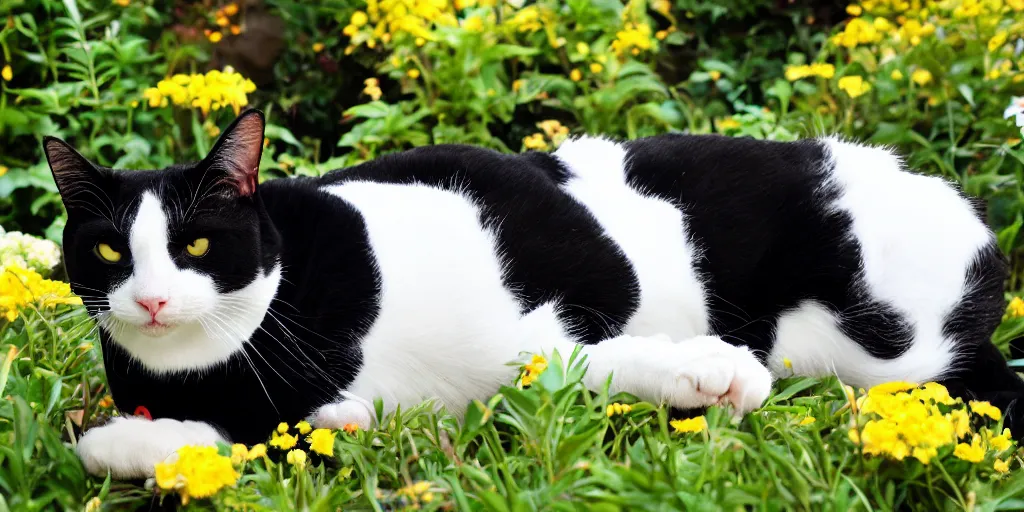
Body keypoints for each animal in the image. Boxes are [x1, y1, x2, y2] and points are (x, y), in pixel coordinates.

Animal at [48, 109, 1024, 479]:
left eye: (194, 243)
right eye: (107, 250)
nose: (151, 302)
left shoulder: (529, 213)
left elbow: (566, 351)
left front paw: (708, 374)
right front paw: (133, 444)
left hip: (890, 346)